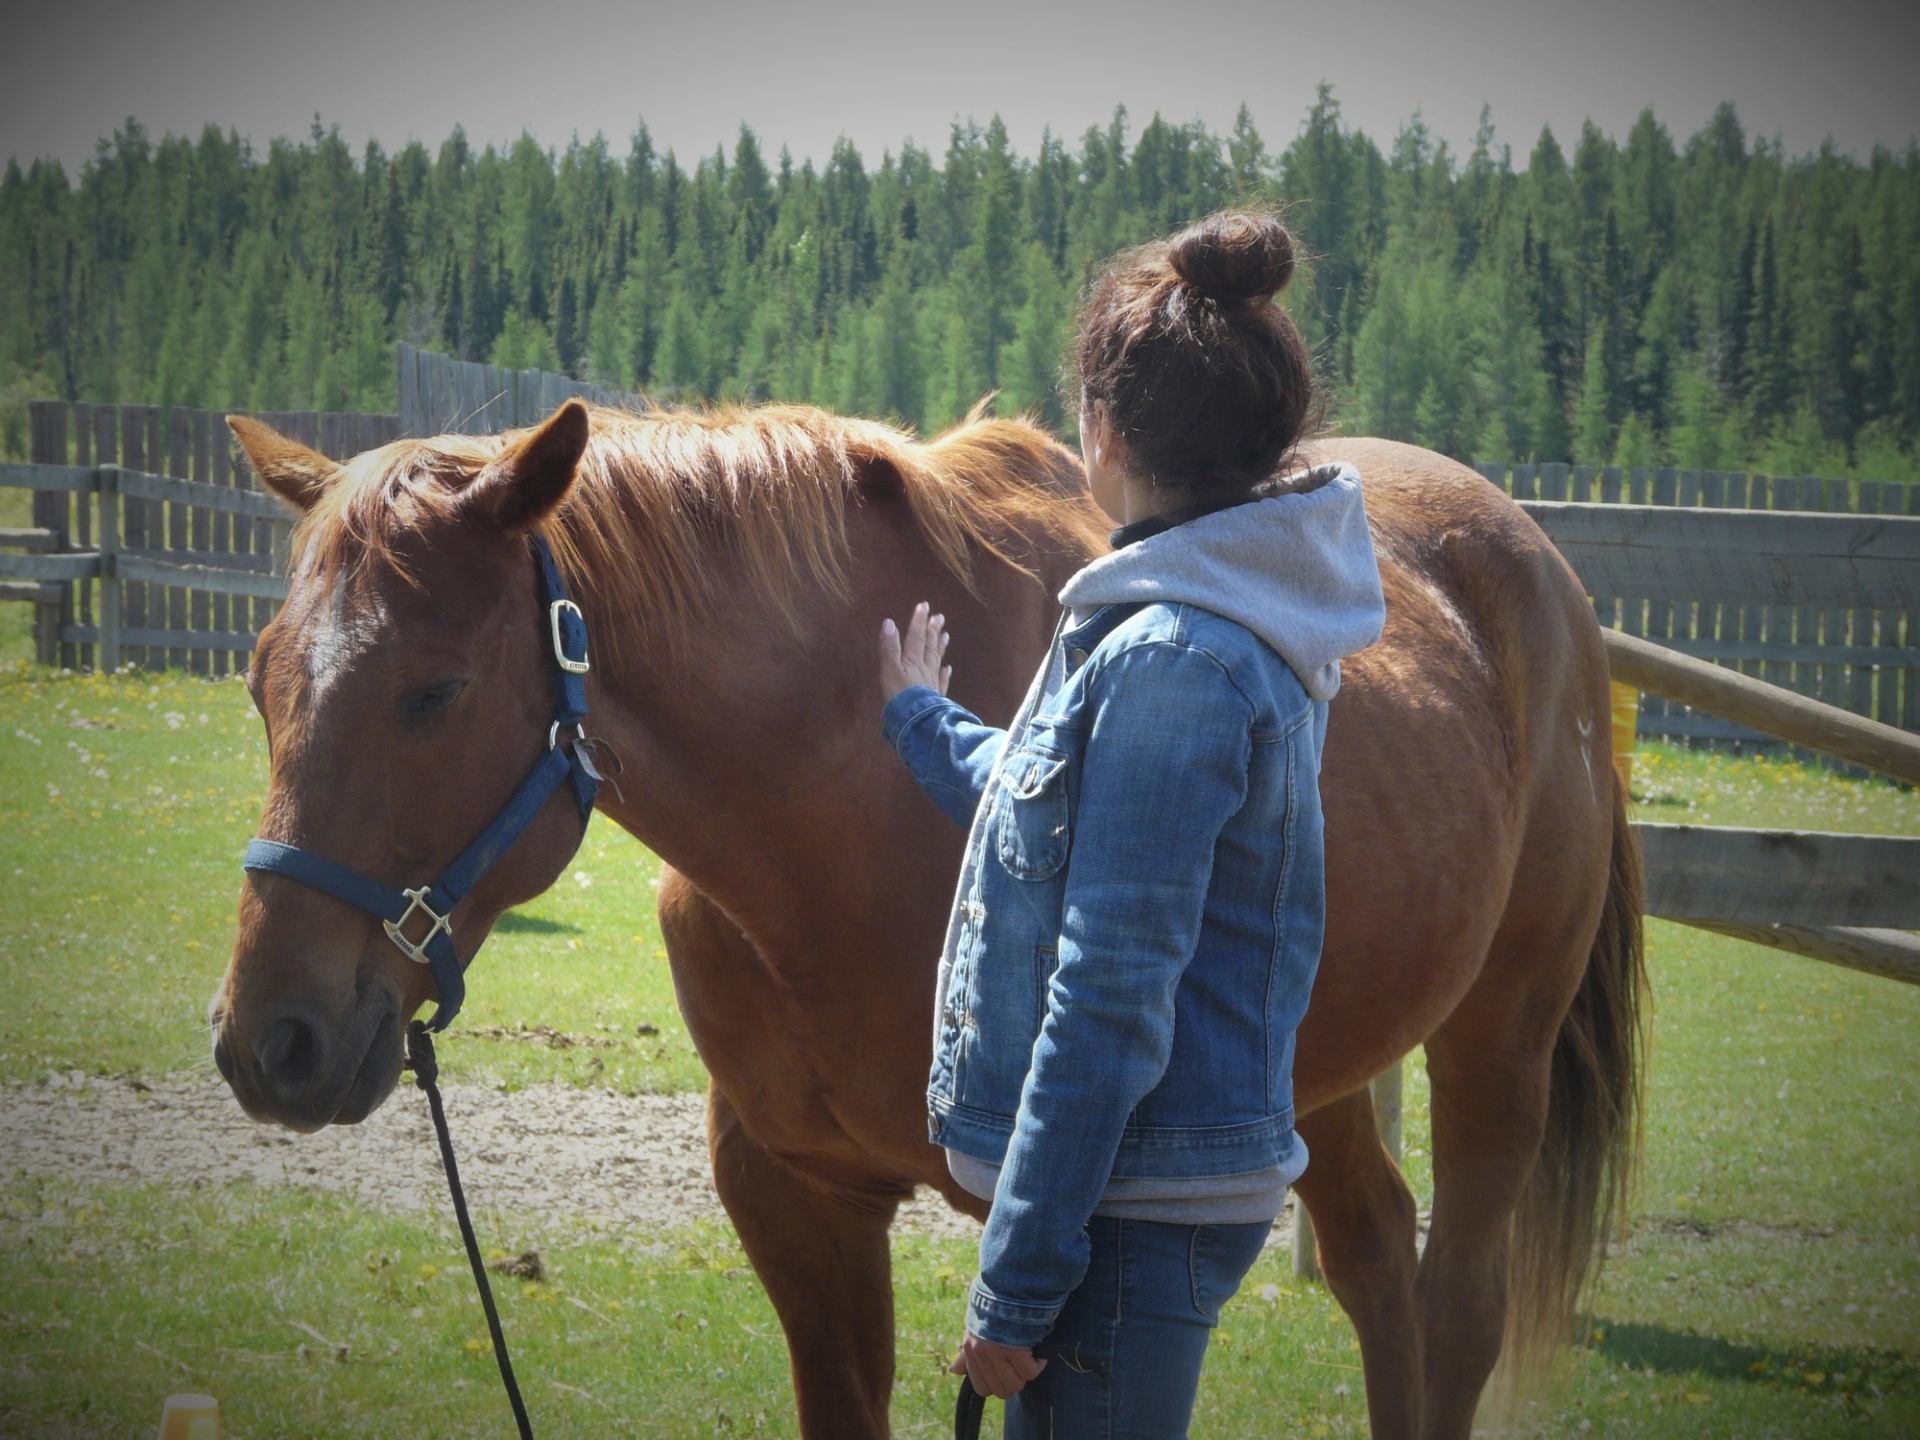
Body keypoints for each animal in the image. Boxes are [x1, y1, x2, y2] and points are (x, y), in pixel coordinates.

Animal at [212, 395, 1644, 1440]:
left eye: (434, 691)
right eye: (262, 677)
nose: (267, 1041)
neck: (840, 814)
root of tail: (1540, 570)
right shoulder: (799, 1201)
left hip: (1496, 1050)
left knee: (1455, 1310)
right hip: (1305, 1076)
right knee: (1378, 1271)